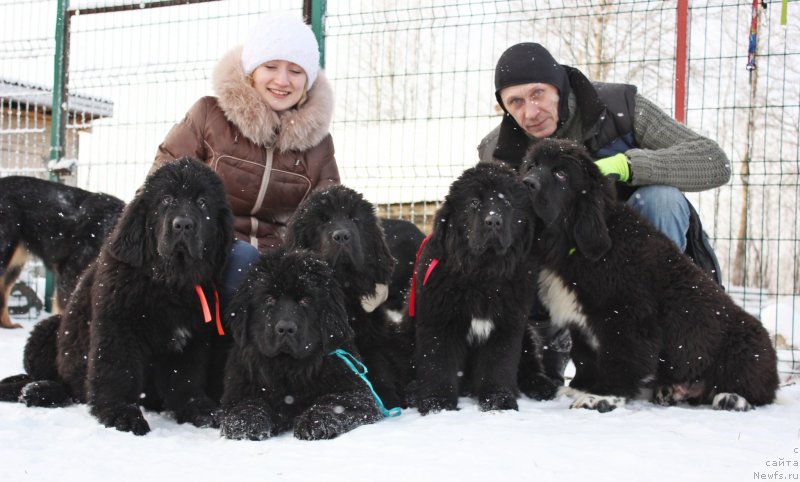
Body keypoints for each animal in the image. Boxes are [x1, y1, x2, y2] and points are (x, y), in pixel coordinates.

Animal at [219, 249, 382, 440]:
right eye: (269, 299)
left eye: (305, 300)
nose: (285, 328)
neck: (287, 366)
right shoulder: (237, 391)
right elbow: (247, 403)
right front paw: (246, 422)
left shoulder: (357, 392)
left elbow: (334, 402)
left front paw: (314, 421)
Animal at [286, 186, 412, 408]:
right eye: (323, 220)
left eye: (353, 218)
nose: (342, 236)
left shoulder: (372, 337)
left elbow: (378, 367)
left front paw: (388, 399)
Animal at [520, 138, 780, 410]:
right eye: (531, 166)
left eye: (560, 174)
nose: (527, 183)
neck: (571, 243)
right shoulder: (580, 321)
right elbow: (584, 356)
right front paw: (580, 387)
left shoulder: (627, 314)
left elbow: (619, 357)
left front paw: (600, 396)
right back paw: (669, 390)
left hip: (746, 349)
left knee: (756, 389)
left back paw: (731, 398)